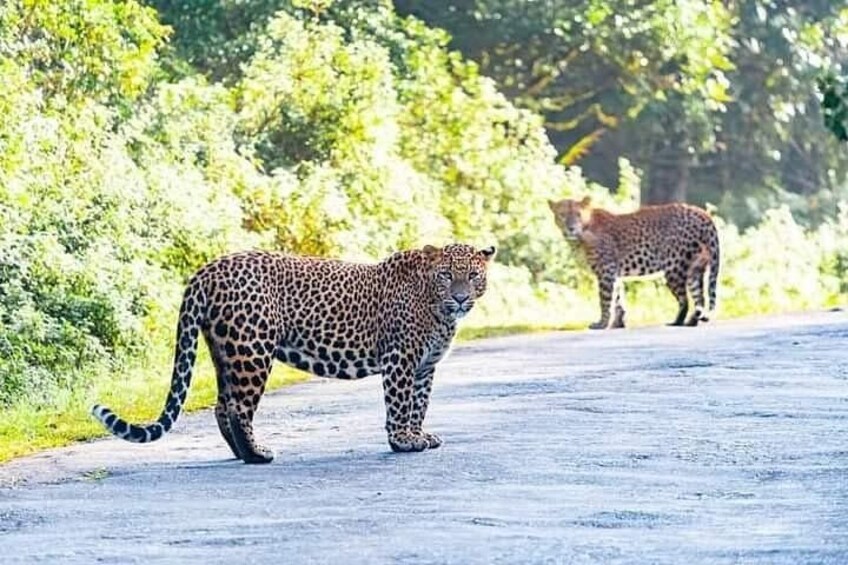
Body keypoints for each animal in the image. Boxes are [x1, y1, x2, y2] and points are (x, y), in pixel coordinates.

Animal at [91, 243, 496, 464]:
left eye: (473, 276)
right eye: (446, 275)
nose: (461, 297)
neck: (438, 308)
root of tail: (206, 269)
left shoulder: (425, 367)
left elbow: (419, 404)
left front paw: (419, 435)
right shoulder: (400, 360)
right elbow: (399, 404)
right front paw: (403, 443)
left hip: (224, 351)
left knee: (222, 405)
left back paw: (240, 453)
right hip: (252, 350)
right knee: (238, 407)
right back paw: (257, 455)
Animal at [548, 196, 720, 329]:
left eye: (578, 214)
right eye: (562, 215)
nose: (571, 228)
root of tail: (702, 212)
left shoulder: (606, 271)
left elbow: (605, 299)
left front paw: (602, 324)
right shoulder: (614, 274)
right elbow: (618, 299)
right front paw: (618, 323)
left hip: (674, 267)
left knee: (685, 300)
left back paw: (677, 322)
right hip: (694, 268)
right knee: (699, 298)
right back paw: (692, 321)